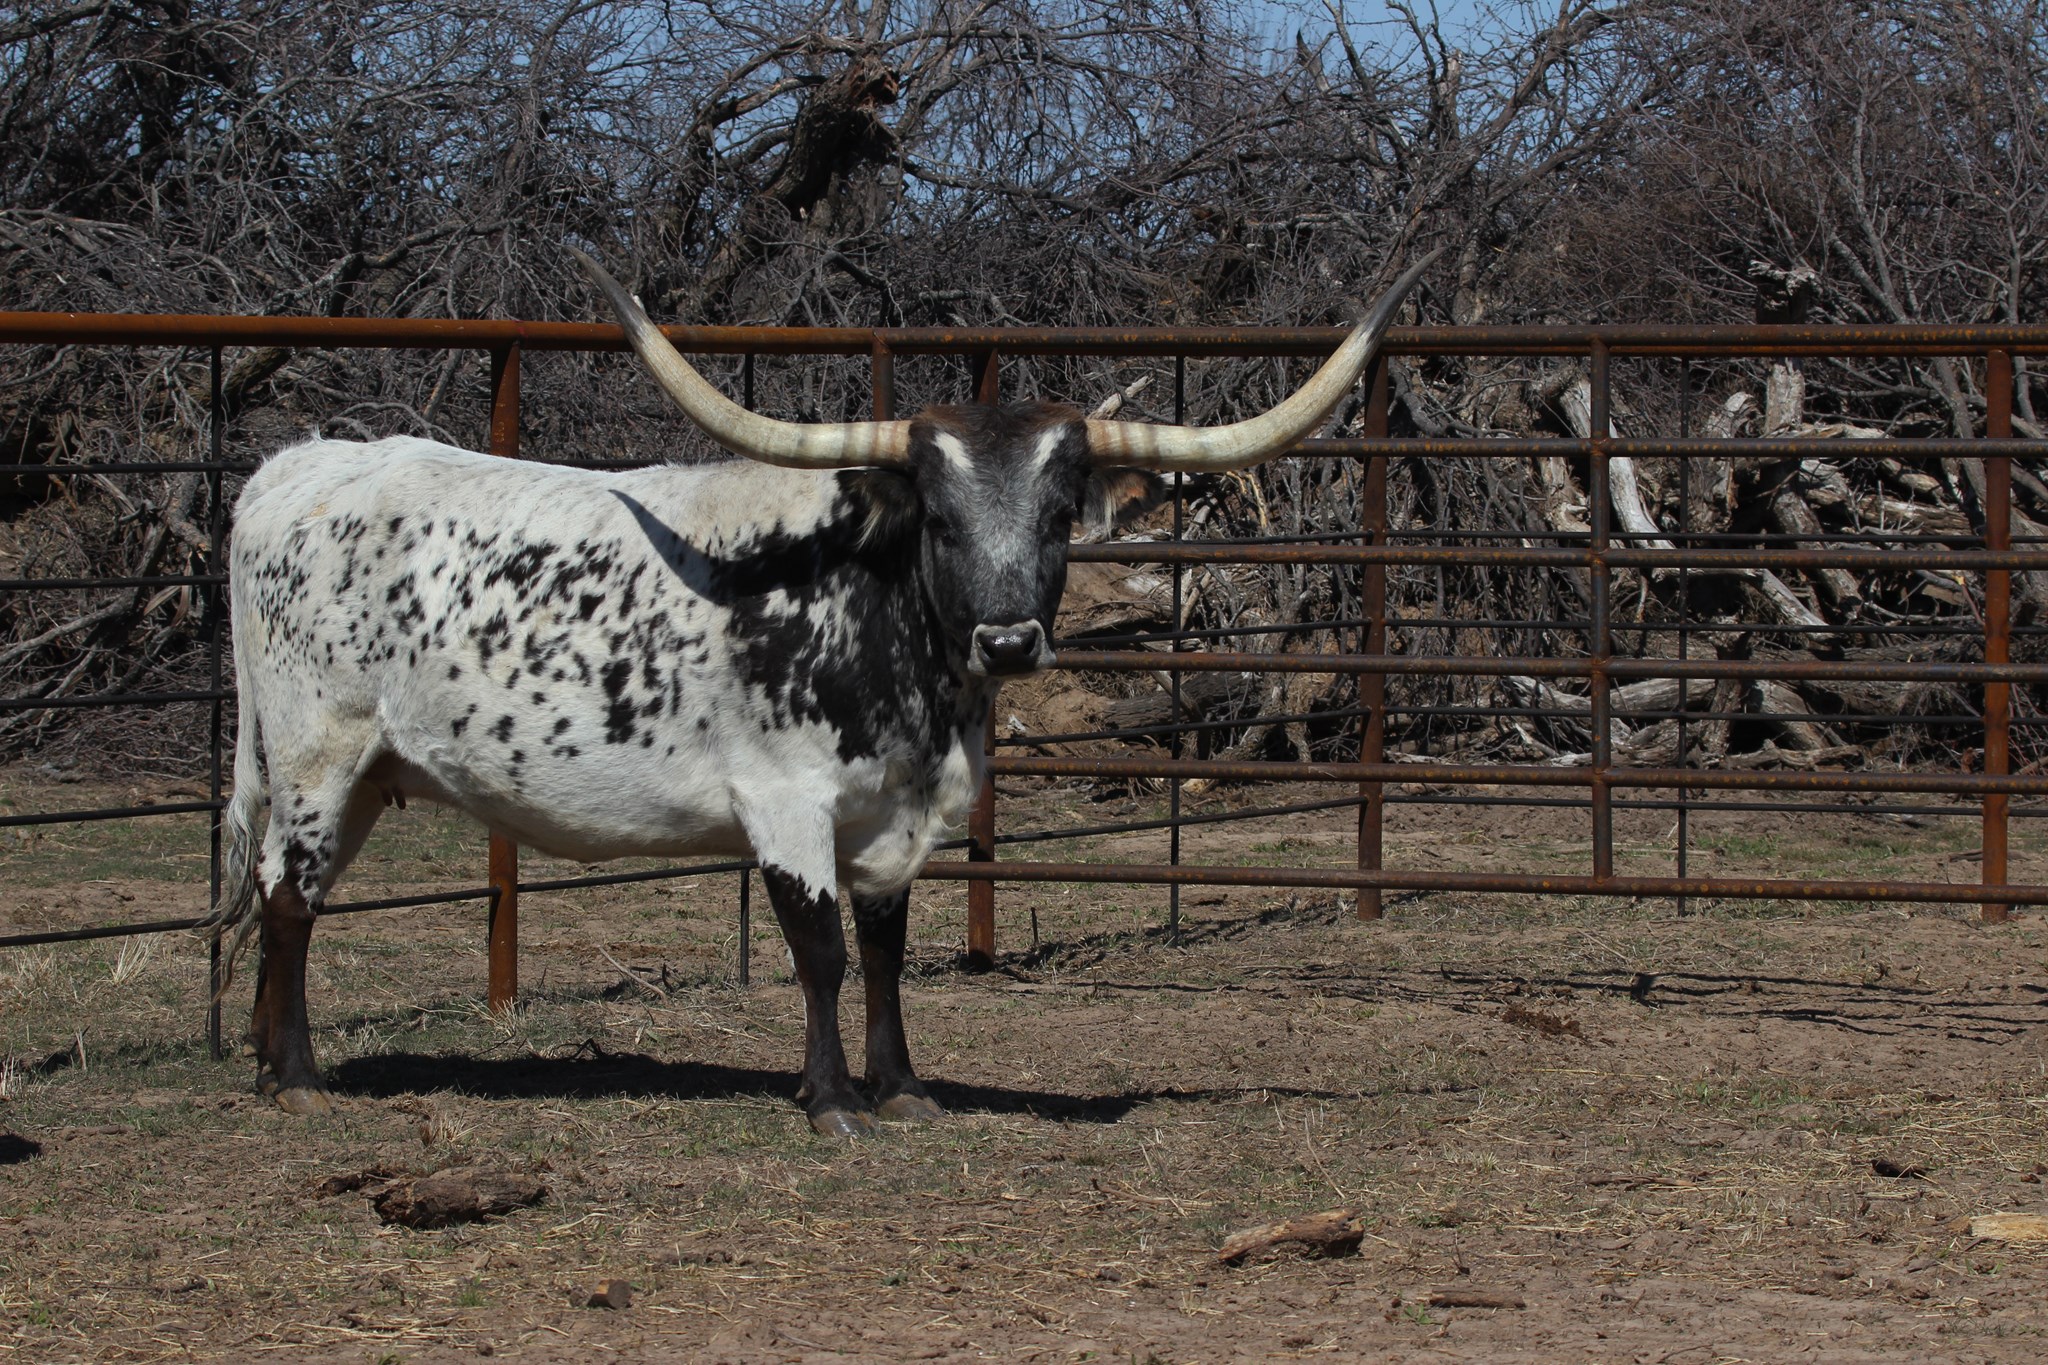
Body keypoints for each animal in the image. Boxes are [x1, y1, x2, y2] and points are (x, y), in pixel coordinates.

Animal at [205, 247, 1431, 1136]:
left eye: (1057, 516)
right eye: (938, 518)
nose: (1006, 640)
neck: (900, 654)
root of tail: (290, 471)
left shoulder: (898, 817)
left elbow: (886, 947)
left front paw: (904, 1089)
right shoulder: (783, 802)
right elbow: (821, 949)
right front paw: (835, 1101)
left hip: (369, 772)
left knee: (283, 896)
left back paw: (266, 1063)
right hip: (316, 756)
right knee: (288, 900)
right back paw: (299, 1078)